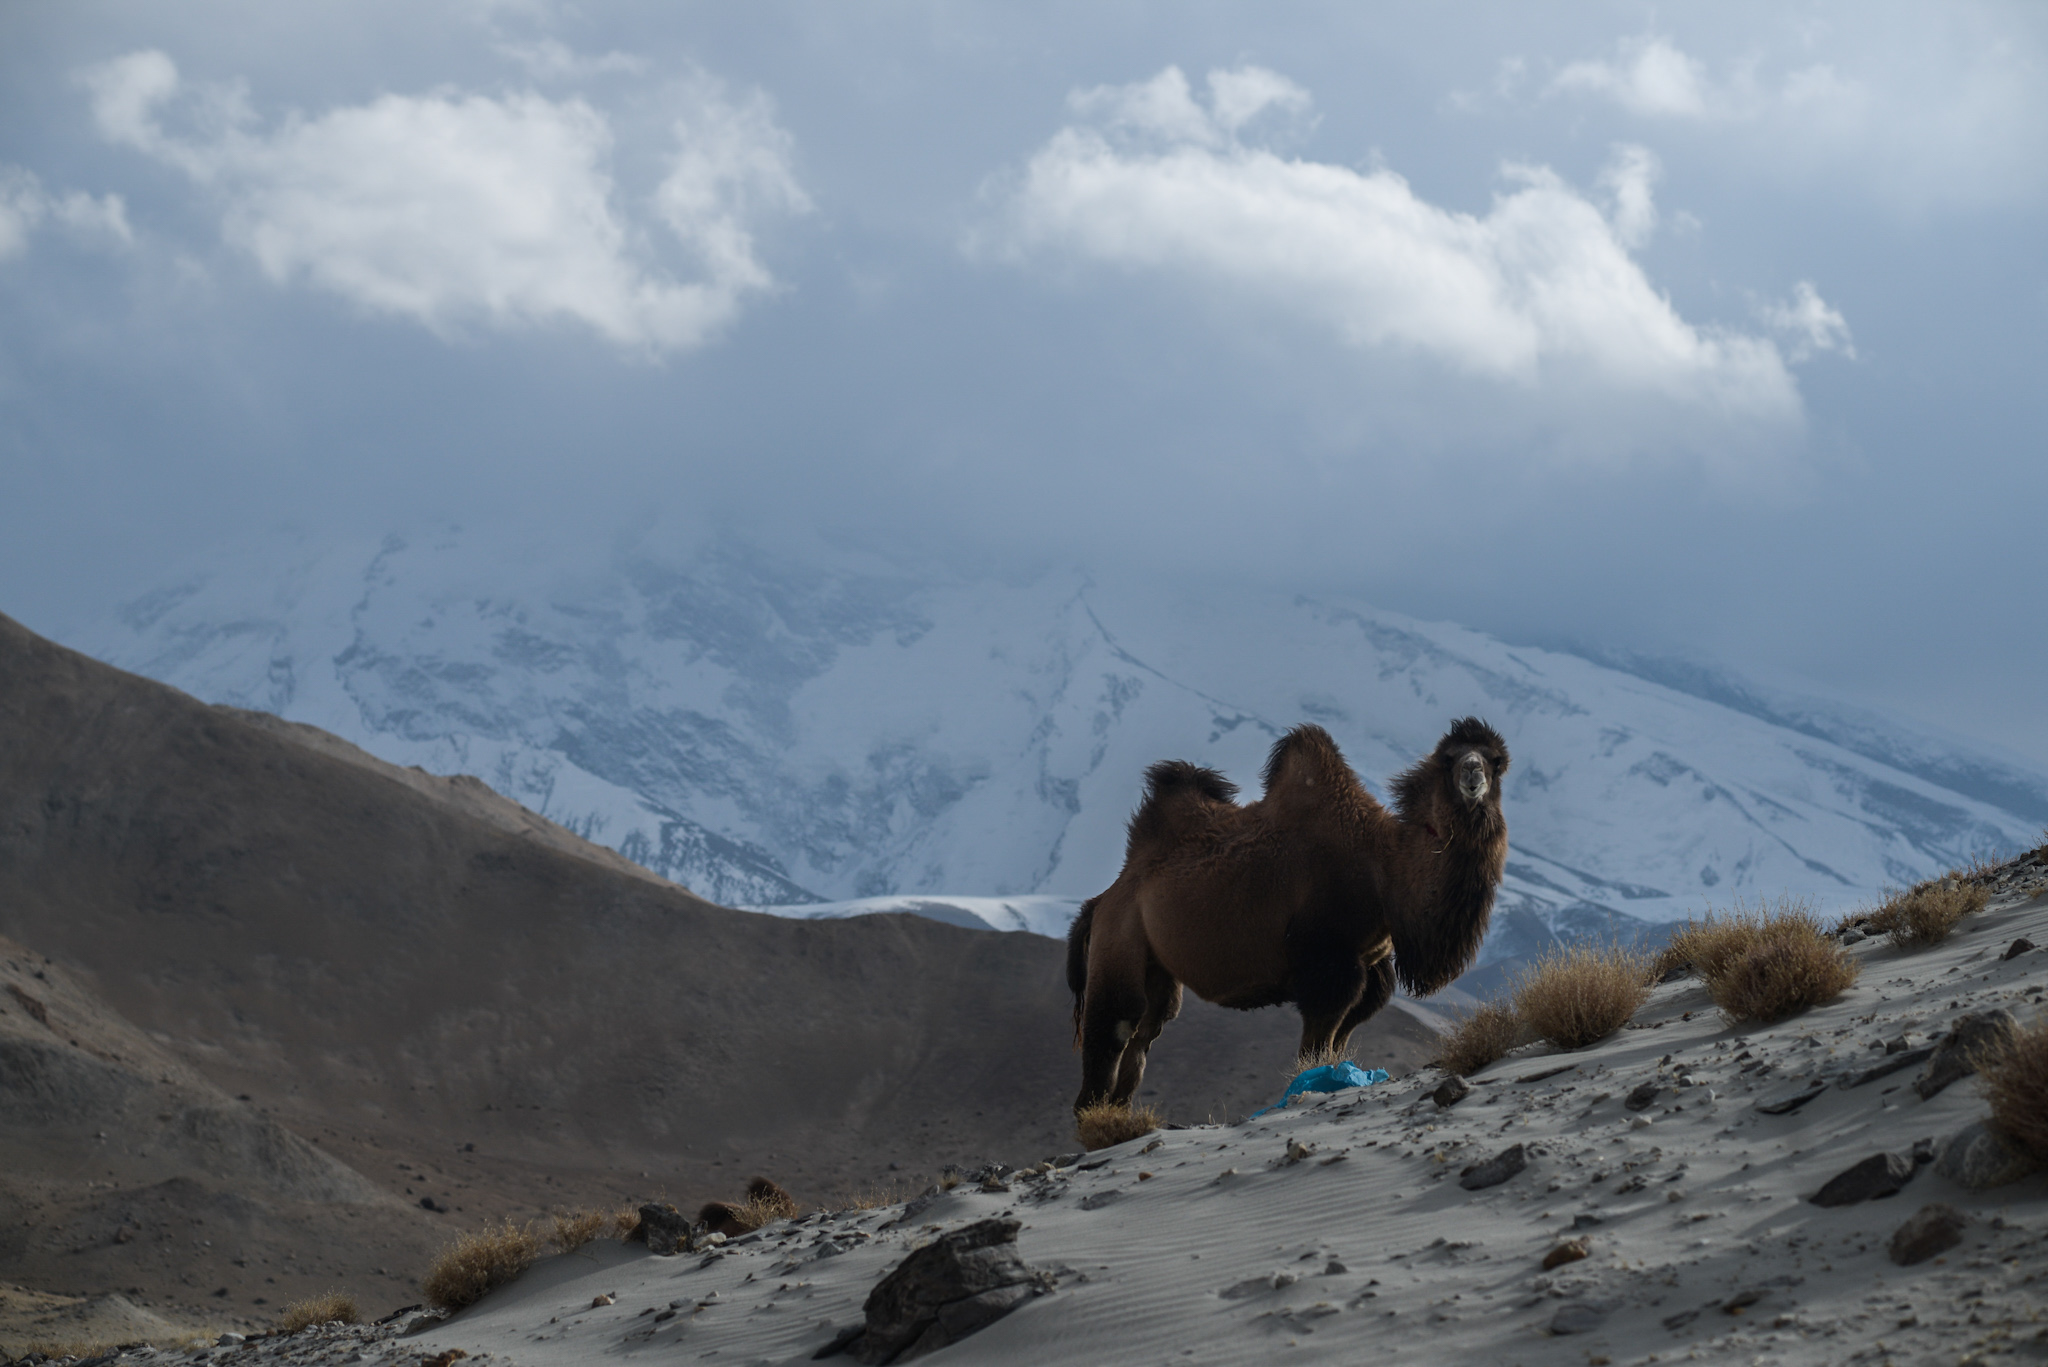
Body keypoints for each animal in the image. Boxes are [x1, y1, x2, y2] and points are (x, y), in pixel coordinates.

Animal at [1073, 717, 1507, 1114]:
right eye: (1449, 758)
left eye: (1496, 760)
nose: (1473, 772)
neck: (1383, 869)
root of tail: (1103, 898)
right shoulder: (1327, 964)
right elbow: (1316, 1044)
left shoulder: (1367, 967)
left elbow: (1341, 1037)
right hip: (1119, 936)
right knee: (1117, 1024)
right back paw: (1095, 1117)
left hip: (1157, 963)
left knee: (1148, 1030)